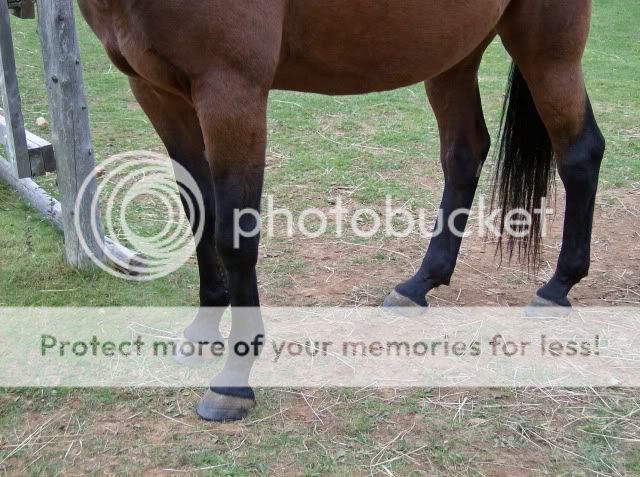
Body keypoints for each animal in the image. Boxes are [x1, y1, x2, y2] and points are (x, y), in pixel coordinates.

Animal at [79, 0, 604, 416]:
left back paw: (558, 286)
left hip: (548, 43)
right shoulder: (157, 93)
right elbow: (199, 215)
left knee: (580, 152)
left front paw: (234, 378)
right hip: (456, 50)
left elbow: (235, 234)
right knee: (464, 153)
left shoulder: (231, 91)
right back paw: (419, 284)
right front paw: (204, 330)